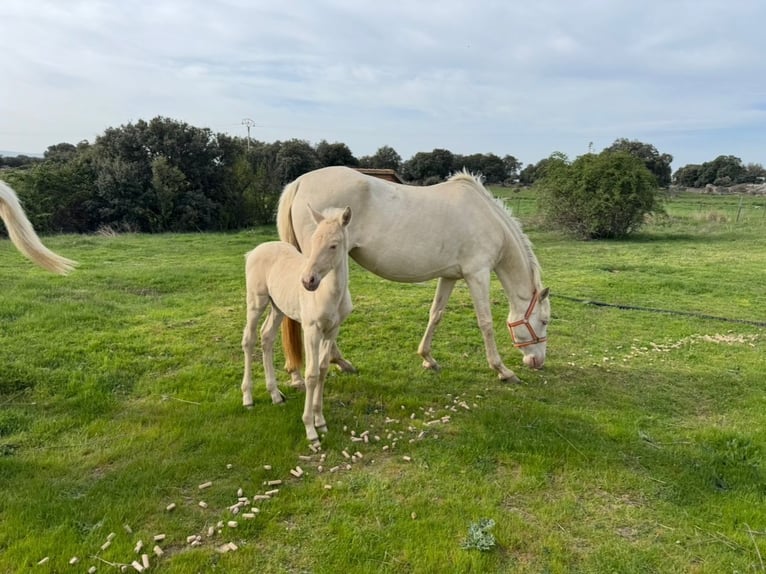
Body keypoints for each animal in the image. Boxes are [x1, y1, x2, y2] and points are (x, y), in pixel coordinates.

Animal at [241, 205, 352, 444]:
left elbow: (322, 370)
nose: (308, 281)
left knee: (266, 337)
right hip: (256, 301)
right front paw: (310, 430)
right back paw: (248, 398)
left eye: (333, 245)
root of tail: (253, 252)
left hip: (278, 307)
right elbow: (311, 375)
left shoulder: (332, 330)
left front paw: (321, 421)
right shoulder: (311, 330)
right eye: (313, 241)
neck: (330, 294)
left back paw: (275, 395)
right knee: (249, 339)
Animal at [277, 166, 550, 383]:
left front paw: (428, 358)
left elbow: (436, 314)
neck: (487, 218)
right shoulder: (478, 274)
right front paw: (503, 370)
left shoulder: (450, 276)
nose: (538, 362)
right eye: (545, 321)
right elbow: (486, 322)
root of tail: (300, 182)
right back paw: (338, 362)